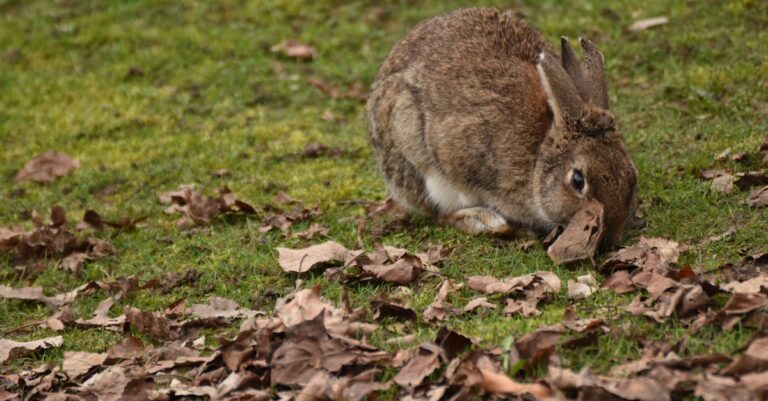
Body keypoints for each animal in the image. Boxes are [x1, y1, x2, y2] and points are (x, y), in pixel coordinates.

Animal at [366, 7, 636, 247]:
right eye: (578, 180)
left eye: (631, 173)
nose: (609, 239)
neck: (539, 153)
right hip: (416, 157)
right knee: (436, 211)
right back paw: (486, 221)